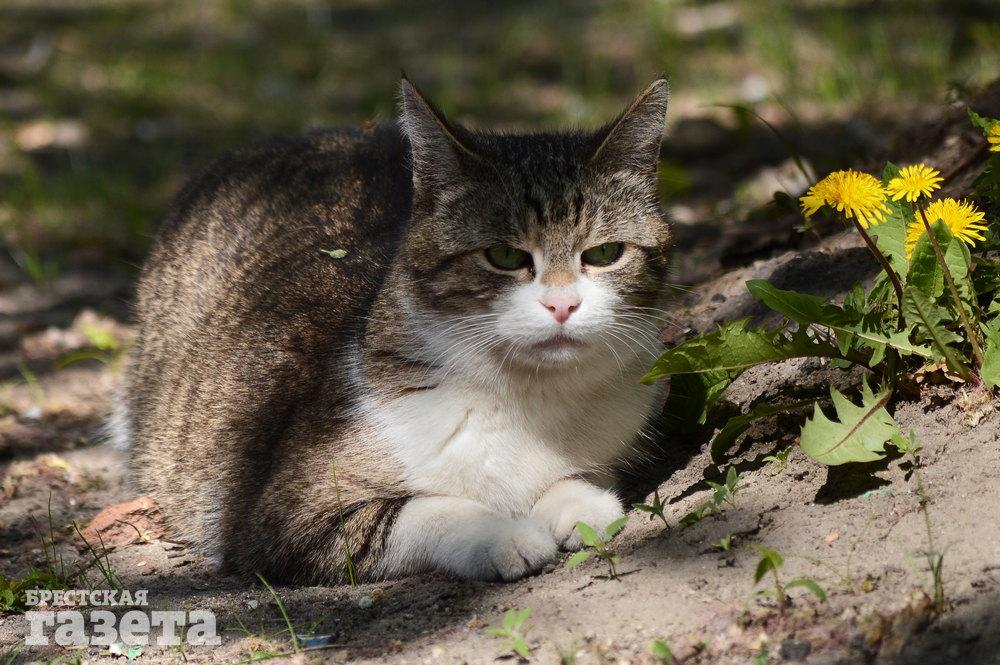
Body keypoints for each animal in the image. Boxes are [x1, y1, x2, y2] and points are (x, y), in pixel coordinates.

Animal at [112, 76, 671, 584]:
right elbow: (420, 511)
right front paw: (504, 535)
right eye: (505, 256)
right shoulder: (285, 516)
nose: (563, 304)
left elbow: (577, 475)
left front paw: (578, 503)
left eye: (604, 253)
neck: (528, 401)